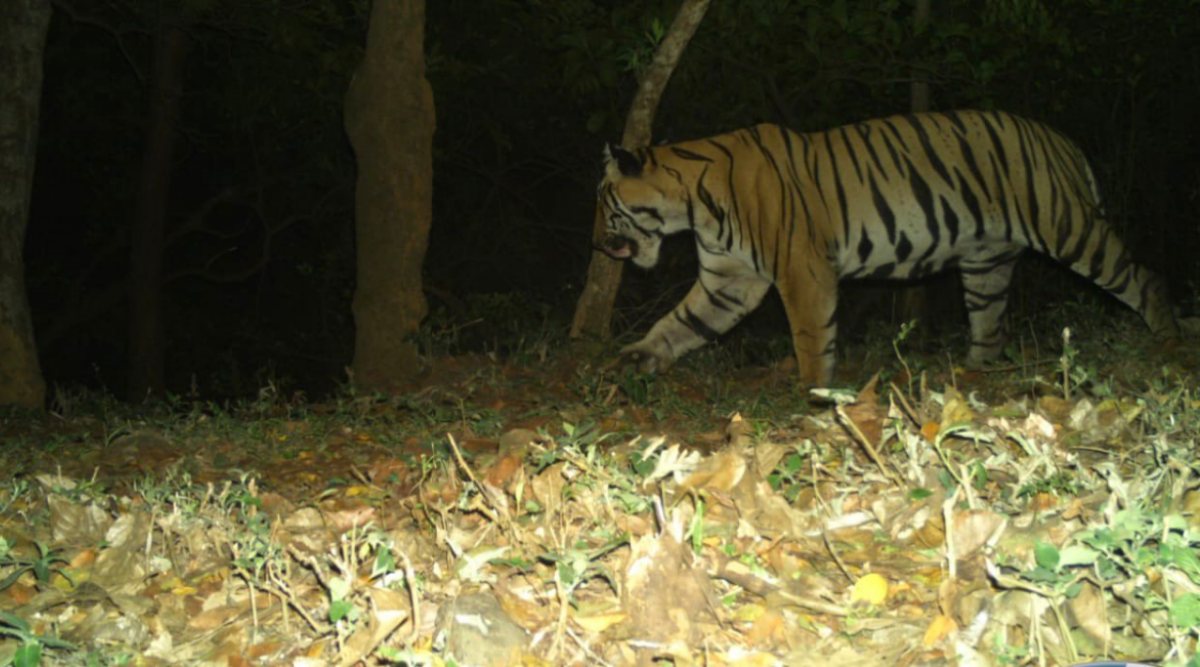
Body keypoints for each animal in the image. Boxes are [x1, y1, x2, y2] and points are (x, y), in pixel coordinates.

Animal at [595, 109, 1176, 386]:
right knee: (991, 324)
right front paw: (637, 358)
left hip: (1068, 228)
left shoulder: (801, 271)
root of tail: (1061, 139)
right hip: (986, 262)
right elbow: (680, 322)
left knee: (1143, 278)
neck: (692, 206)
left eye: (604, 204)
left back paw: (1168, 340)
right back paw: (971, 371)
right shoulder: (729, 280)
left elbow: (811, 336)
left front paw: (812, 391)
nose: (598, 245)